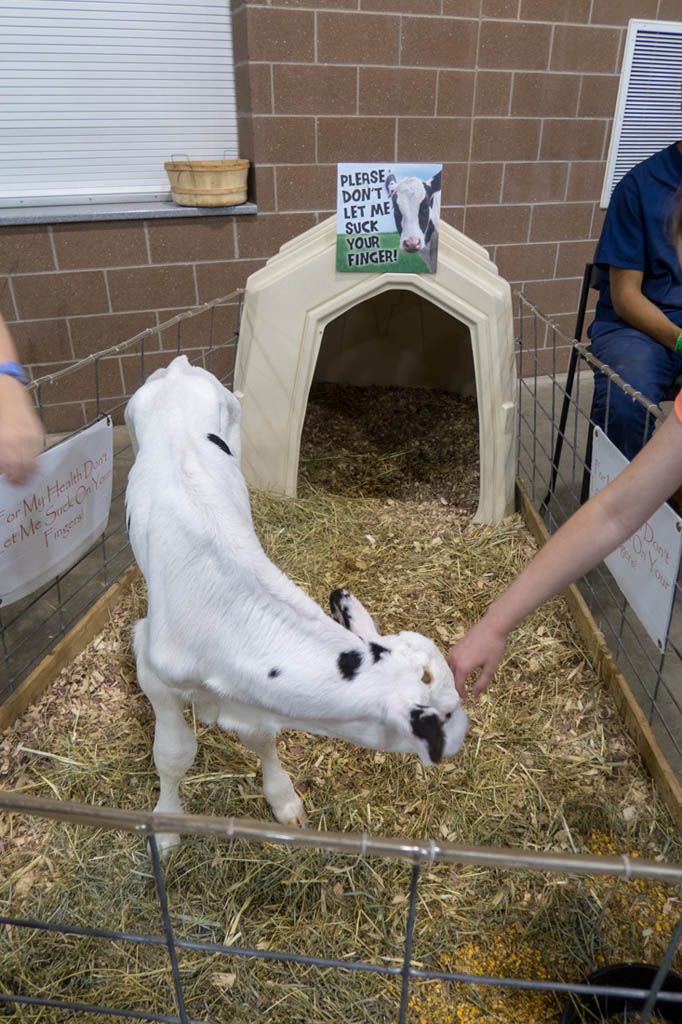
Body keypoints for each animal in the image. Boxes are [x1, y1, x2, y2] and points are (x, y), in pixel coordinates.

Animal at [124, 356, 466, 851]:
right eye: (447, 712)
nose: (461, 738)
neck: (227, 610)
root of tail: (178, 366)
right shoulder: (154, 667)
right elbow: (173, 754)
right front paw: (167, 826)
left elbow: (261, 736)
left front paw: (284, 800)